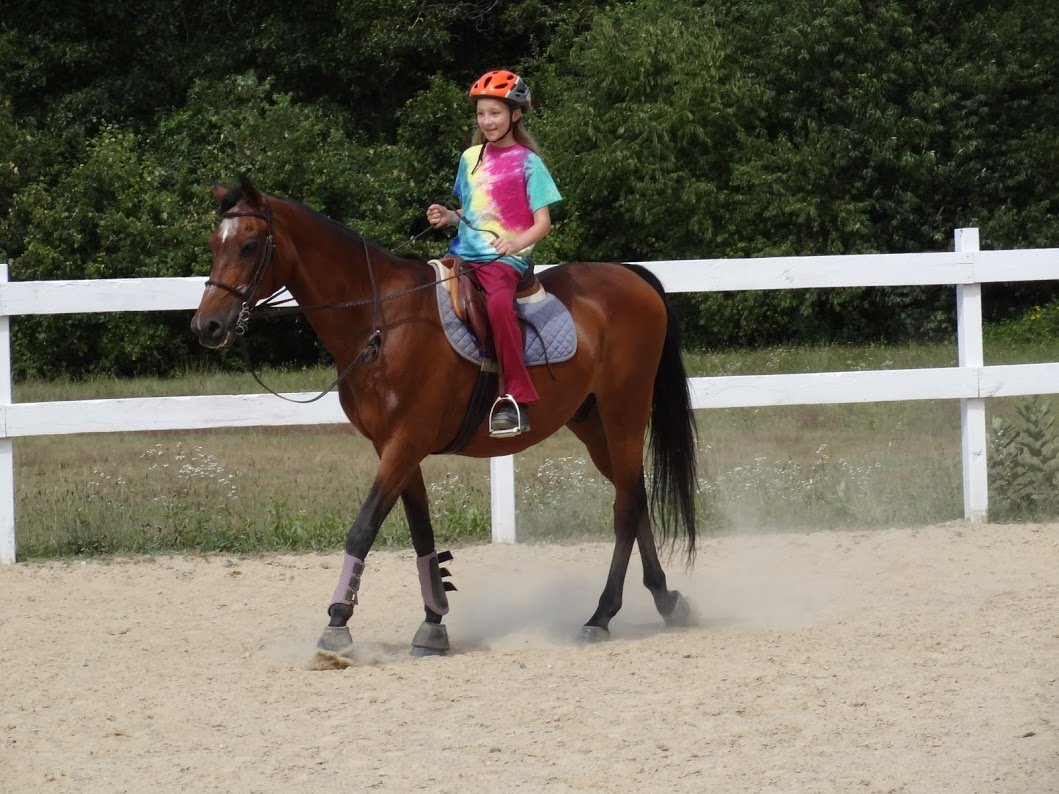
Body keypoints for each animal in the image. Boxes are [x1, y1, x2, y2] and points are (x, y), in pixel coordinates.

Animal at [191, 178, 703, 660]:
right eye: (215, 243)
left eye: (249, 245)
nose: (206, 326)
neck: (382, 319)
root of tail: (631, 276)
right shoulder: (395, 447)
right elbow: (422, 534)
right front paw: (433, 622)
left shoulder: (405, 442)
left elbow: (363, 527)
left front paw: (337, 623)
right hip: (593, 425)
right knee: (634, 496)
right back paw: (664, 599)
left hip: (623, 413)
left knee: (625, 507)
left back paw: (601, 615)